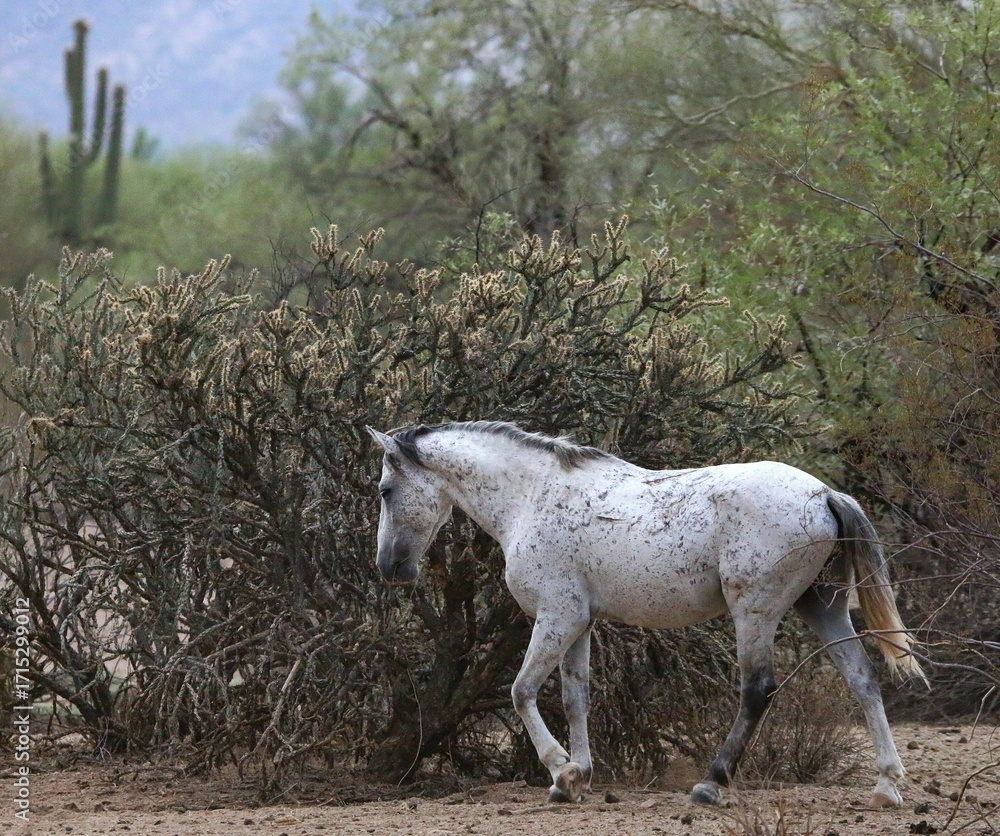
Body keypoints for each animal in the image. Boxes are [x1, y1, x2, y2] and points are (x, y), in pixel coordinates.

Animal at [366, 420, 926, 807]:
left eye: (385, 491)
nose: (389, 567)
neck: (530, 499)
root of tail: (824, 493)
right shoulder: (580, 623)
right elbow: (575, 698)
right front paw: (576, 779)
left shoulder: (556, 617)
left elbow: (522, 691)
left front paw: (560, 770)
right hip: (822, 605)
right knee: (863, 679)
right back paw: (887, 787)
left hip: (755, 611)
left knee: (758, 689)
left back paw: (710, 784)